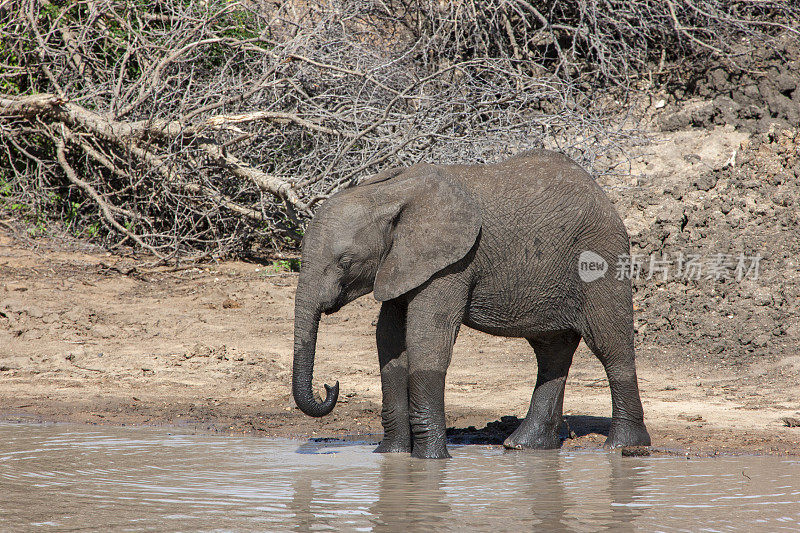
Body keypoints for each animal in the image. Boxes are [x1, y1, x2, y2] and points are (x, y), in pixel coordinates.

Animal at [292, 150, 648, 458]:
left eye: (345, 262)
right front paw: (390, 455)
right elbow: (389, 339)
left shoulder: (452, 263)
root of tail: (602, 193)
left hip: (600, 255)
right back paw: (524, 446)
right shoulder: (400, 264)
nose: (330, 385)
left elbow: (427, 340)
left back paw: (624, 447)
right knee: (551, 351)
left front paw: (430, 460)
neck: (386, 193)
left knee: (609, 344)